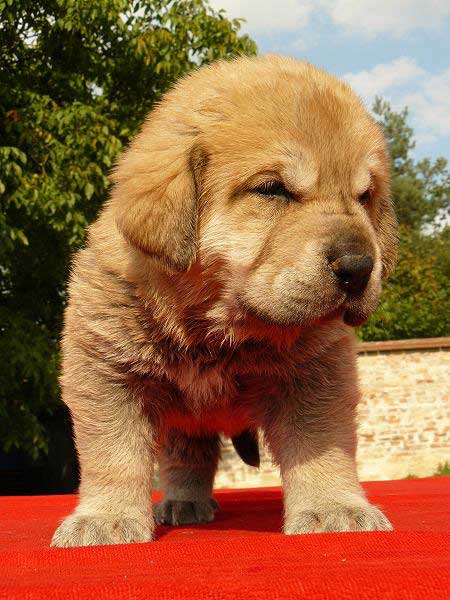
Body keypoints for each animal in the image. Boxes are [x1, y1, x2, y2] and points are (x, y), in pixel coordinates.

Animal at [51, 56, 398, 548]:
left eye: (365, 196)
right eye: (272, 189)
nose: (358, 266)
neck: (215, 329)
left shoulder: (317, 376)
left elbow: (321, 445)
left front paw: (336, 508)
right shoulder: (106, 375)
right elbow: (114, 455)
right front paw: (106, 519)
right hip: (182, 421)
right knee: (186, 458)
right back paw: (183, 502)